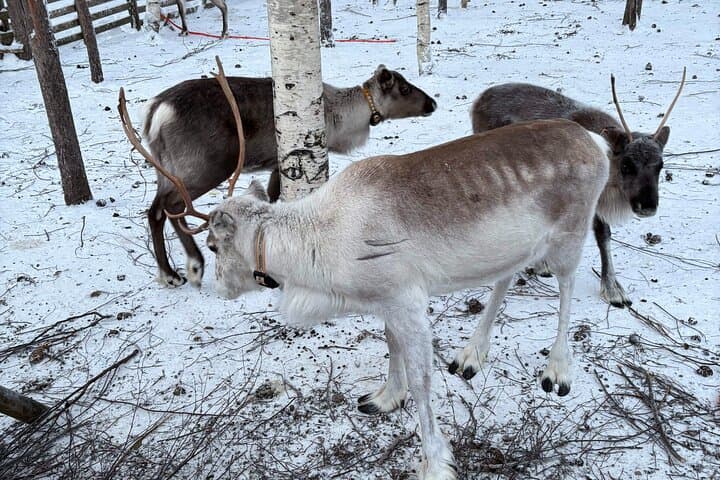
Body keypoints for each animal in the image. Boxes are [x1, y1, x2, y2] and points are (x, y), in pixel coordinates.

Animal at [142, 64, 437, 288]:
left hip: (165, 167)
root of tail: (156, 111)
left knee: (154, 210)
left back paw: (169, 274)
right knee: (171, 206)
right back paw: (193, 266)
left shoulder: (275, 164)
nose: (432, 103)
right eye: (404, 89)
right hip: (205, 167)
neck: (340, 119)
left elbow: (270, 197)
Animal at [471, 69, 686, 308]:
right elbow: (602, 235)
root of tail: (480, 98)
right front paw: (612, 289)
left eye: (660, 165)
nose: (647, 206)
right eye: (627, 164)